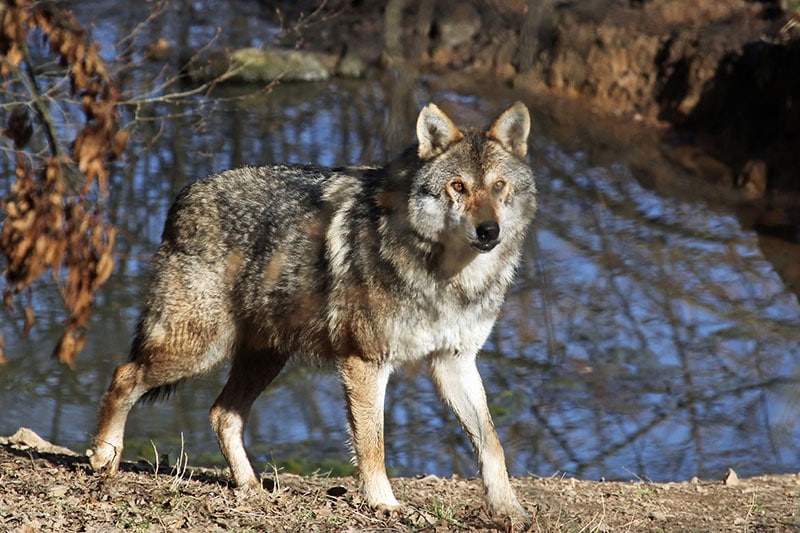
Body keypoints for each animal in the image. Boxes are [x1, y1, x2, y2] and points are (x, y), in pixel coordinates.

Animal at [87, 101, 536, 520]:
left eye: (499, 186)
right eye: (458, 186)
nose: (489, 231)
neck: (449, 277)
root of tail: (182, 197)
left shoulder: (454, 361)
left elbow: (491, 443)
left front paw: (509, 508)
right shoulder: (365, 361)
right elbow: (372, 444)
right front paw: (383, 502)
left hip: (265, 357)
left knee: (221, 413)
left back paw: (251, 488)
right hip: (198, 350)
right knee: (124, 375)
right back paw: (104, 455)